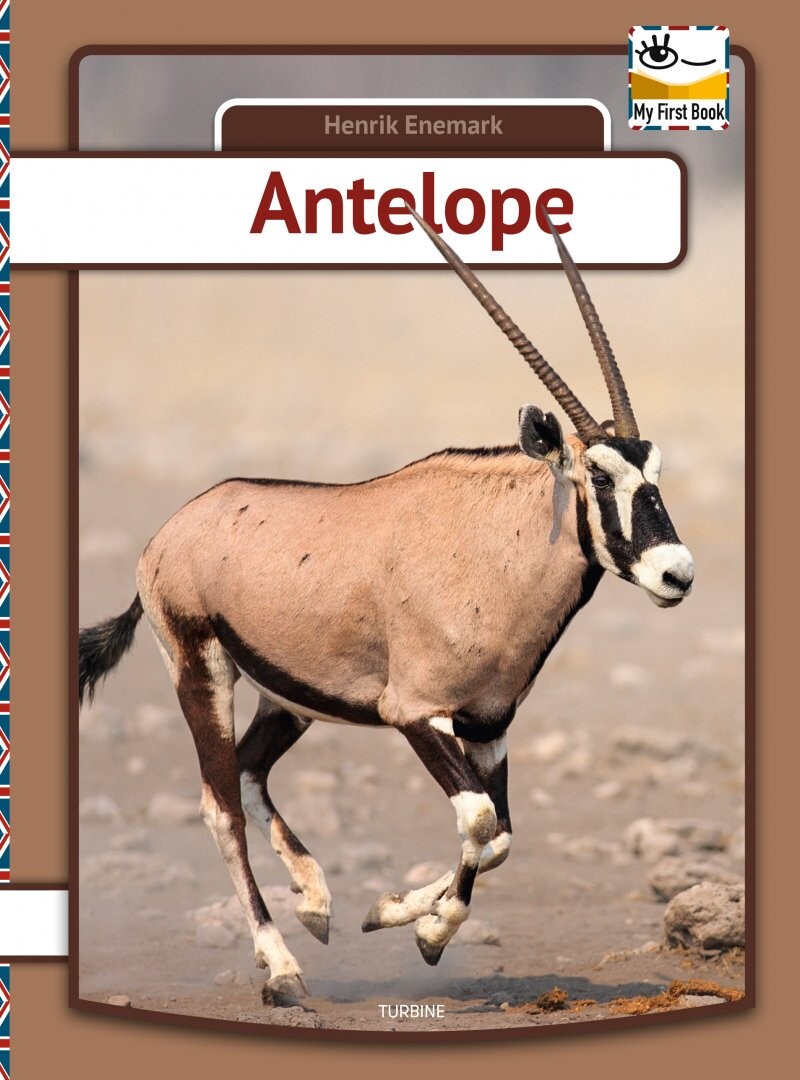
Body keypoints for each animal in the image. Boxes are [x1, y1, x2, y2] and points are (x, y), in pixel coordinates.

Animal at [79, 210, 694, 998]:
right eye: (598, 473)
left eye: (654, 471)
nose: (676, 573)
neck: (496, 545)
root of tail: (170, 531)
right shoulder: (414, 713)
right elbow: (479, 821)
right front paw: (420, 923)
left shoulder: (488, 722)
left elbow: (499, 834)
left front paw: (402, 916)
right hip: (201, 671)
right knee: (220, 806)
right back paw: (282, 966)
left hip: (289, 700)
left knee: (248, 770)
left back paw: (315, 901)